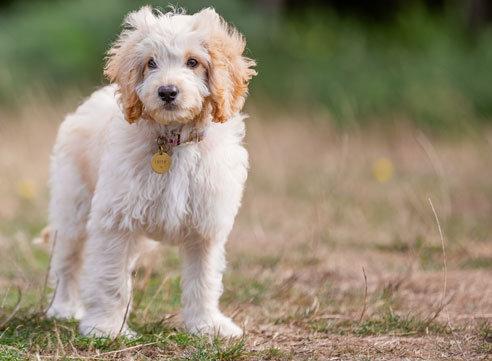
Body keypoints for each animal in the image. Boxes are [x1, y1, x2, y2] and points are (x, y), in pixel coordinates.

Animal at [43, 6, 254, 338]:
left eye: (193, 62)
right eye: (151, 63)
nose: (167, 91)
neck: (173, 140)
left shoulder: (206, 225)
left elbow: (204, 279)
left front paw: (207, 325)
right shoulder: (115, 219)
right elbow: (110, 278)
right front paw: (107, 328)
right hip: (72, 205)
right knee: (67, 258)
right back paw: (62, 307)